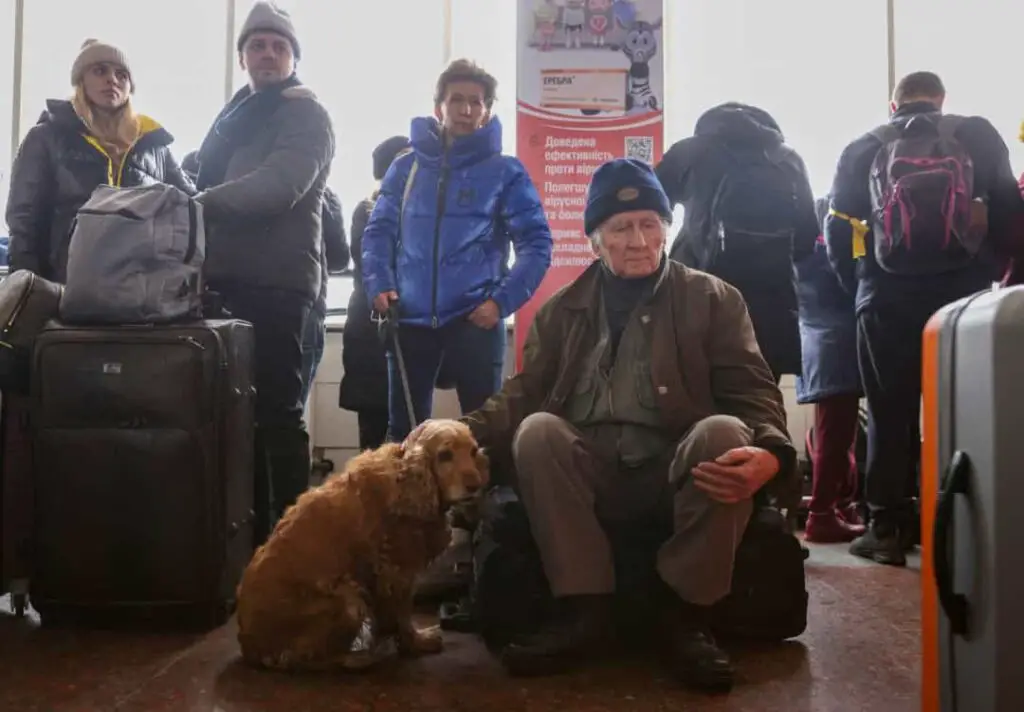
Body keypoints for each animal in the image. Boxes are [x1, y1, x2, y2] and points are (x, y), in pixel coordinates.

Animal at [235, 420, 487, 672]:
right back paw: (358, 658)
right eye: (445, 455)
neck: (406, 482)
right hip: (348, 598)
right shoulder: (397, 573)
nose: (475, 485)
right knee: (311, 659)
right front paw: (415, 642)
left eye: (473, 451)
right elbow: (404, 614)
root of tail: (249, 647)